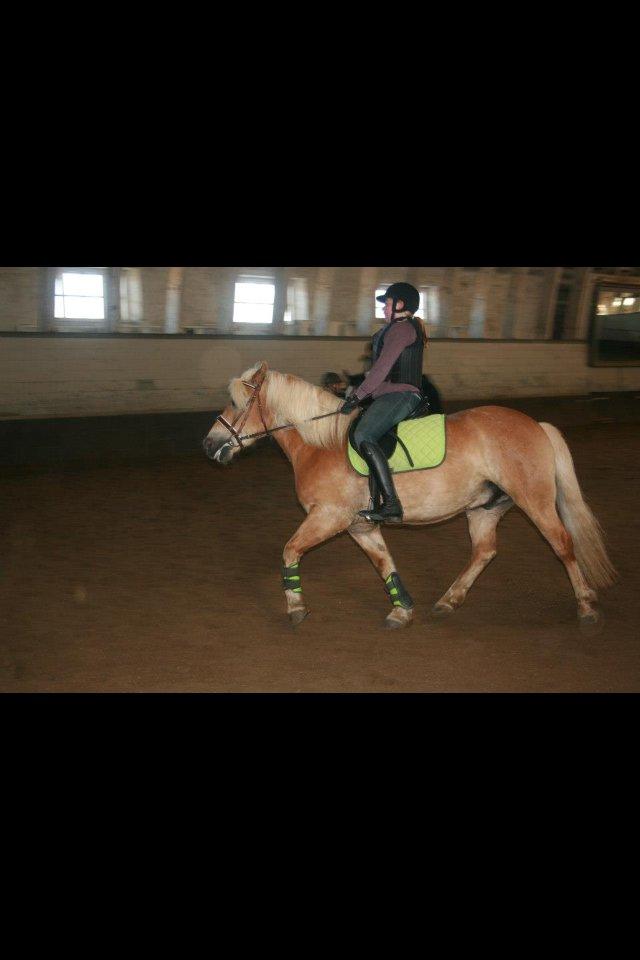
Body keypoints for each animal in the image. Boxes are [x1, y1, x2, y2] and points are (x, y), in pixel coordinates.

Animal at [203, 361, 616, 629]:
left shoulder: (328, 516)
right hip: (484, 508)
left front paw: (295, 608)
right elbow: (385, 564)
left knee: (562, 543)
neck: (321, 444)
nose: (209, 444)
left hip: (535, 500)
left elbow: (289, 551)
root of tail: (536, 425)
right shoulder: (359, 526)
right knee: (485, 551)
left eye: (237, 404)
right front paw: (402, 610)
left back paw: (587, 607)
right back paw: (448, 601)